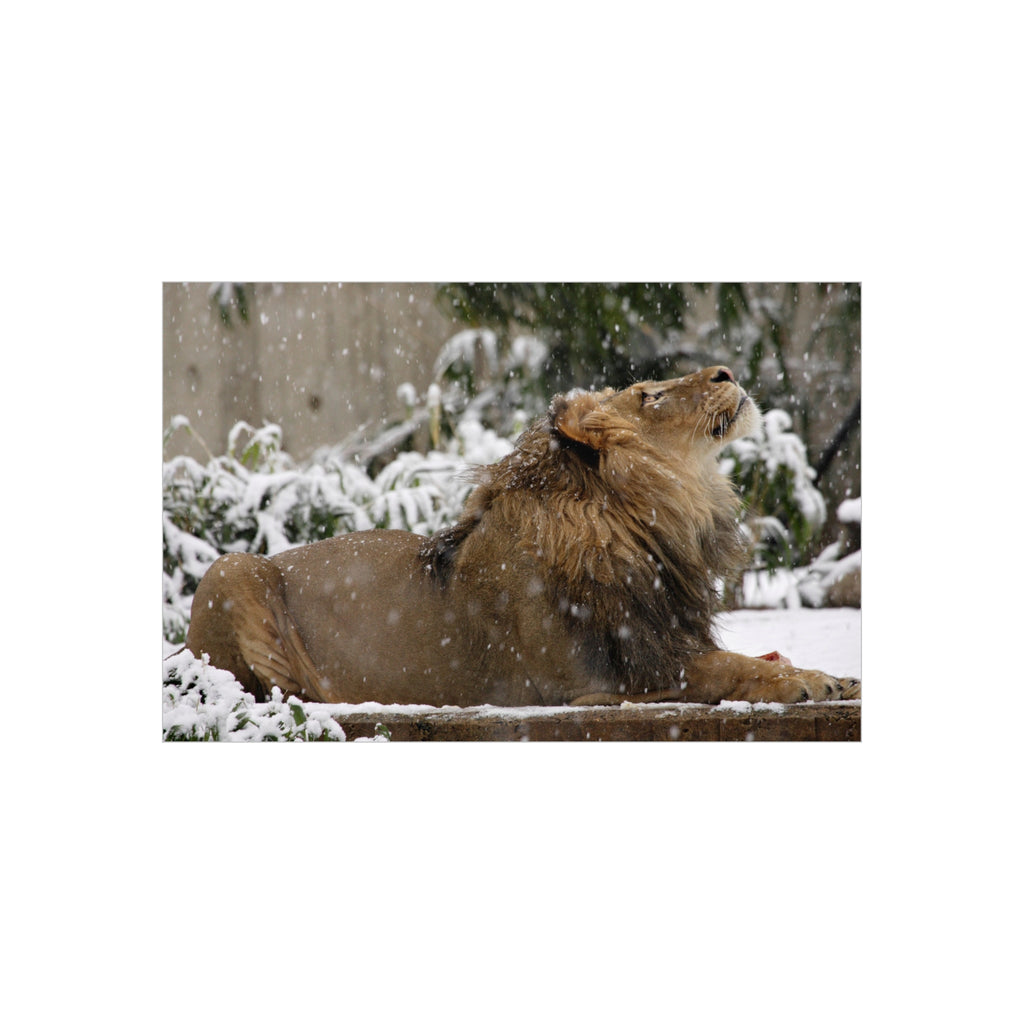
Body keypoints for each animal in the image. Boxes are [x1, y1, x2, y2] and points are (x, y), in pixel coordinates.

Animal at [185, 366, 861, 707]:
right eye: (651, 395)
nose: (726, 369)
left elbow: (748, 658)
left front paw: (829, 674)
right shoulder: (599, 682)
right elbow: (726, 670)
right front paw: (804, 682)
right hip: (231, 568)